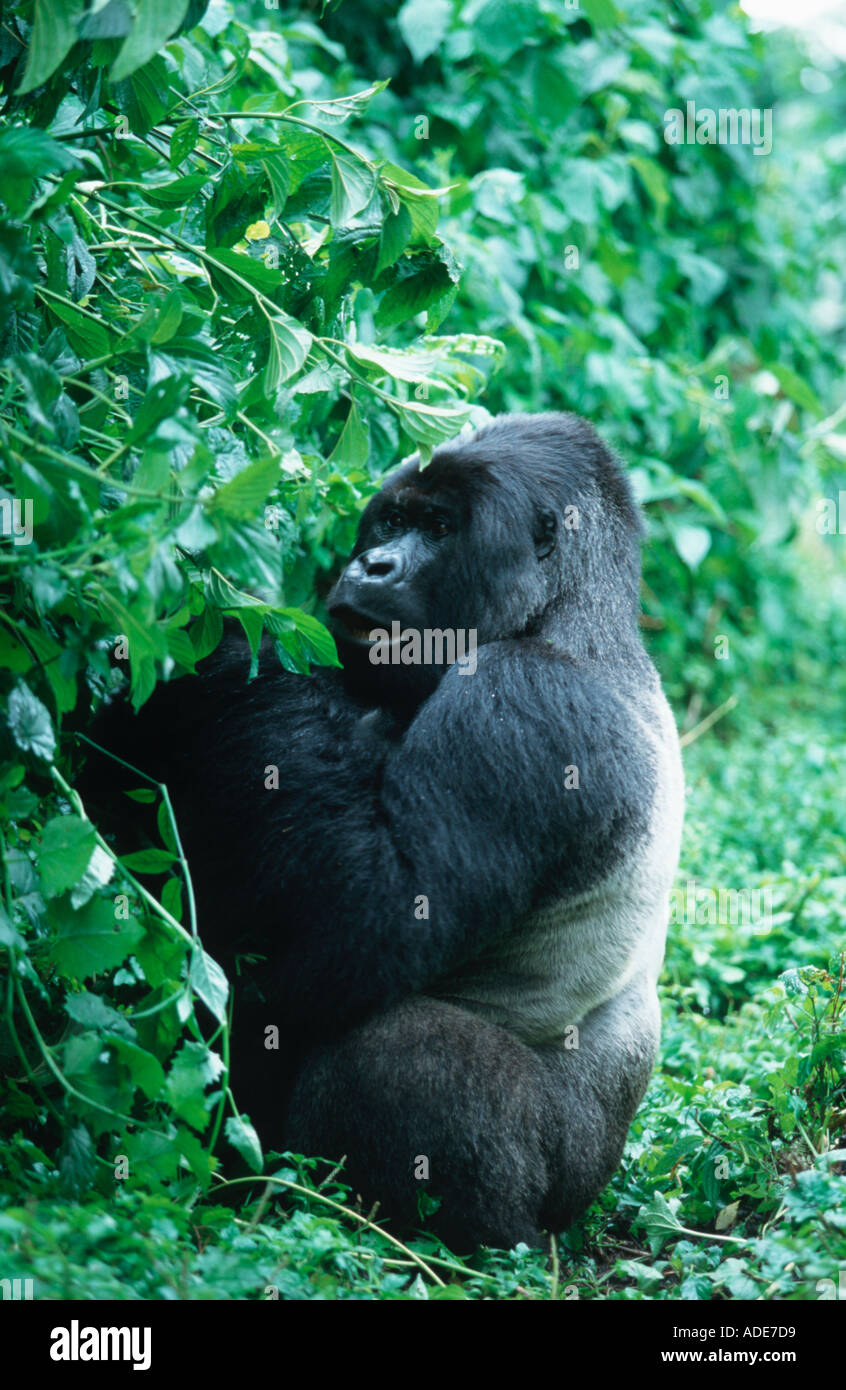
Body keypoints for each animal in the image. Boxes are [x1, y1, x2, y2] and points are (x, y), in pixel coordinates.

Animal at [85, 408, 683, 1251]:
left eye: (438, 526)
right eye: (392, 521)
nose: (371, 564)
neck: (572, 614)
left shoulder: (521, 702)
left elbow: (365, 919)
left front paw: (227, 640)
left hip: (561, 1174)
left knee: (405, 1052)